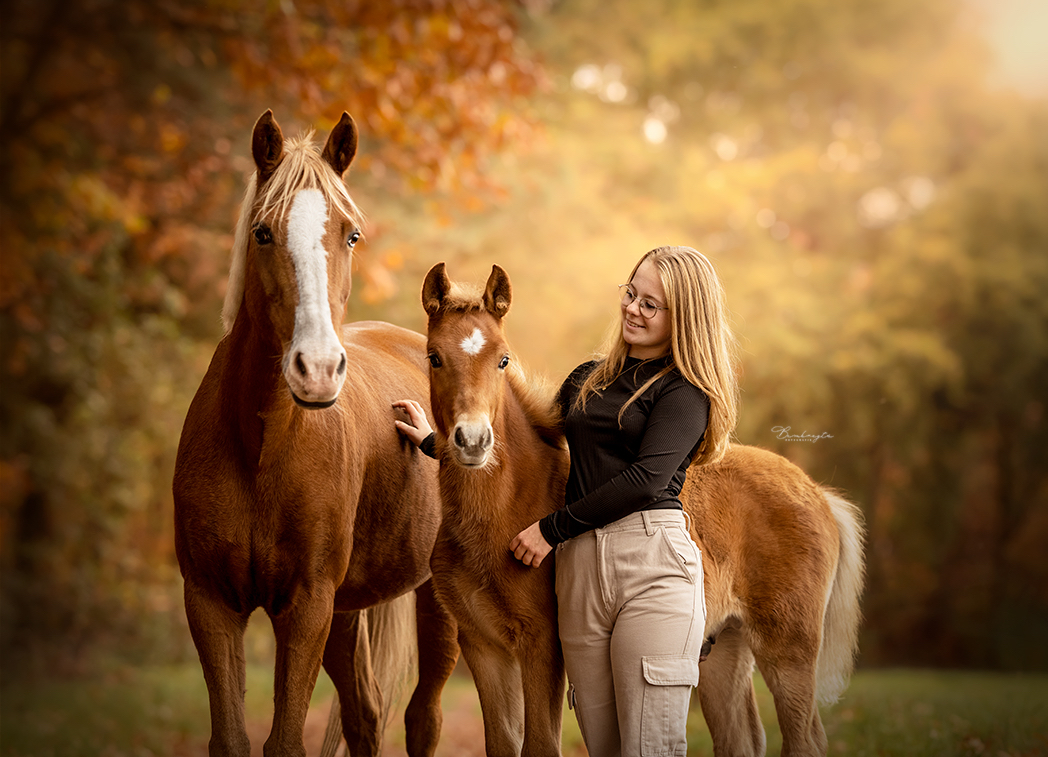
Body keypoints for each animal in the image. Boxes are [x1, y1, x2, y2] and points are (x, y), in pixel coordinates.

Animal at [173, 112, 456, 754]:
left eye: (351, 236)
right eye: (262, 233)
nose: (319, 368)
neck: (262, 448)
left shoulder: (305, 608)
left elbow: (286, 742)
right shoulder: (211, 603)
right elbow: (231, 739)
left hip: (436, 599)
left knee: (423, 718)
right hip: (345, 613)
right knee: (365, 715)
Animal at [421, 261, 863, 754]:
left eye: (503, 359)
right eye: (434, 357)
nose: (473, 441)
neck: (499, 513)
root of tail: (817, 493)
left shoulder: (541, 645)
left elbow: (540, 744)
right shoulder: (483, 645)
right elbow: (501, 742)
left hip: (788, 648)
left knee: (806, 737)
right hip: (722, 647)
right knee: (742, 737)